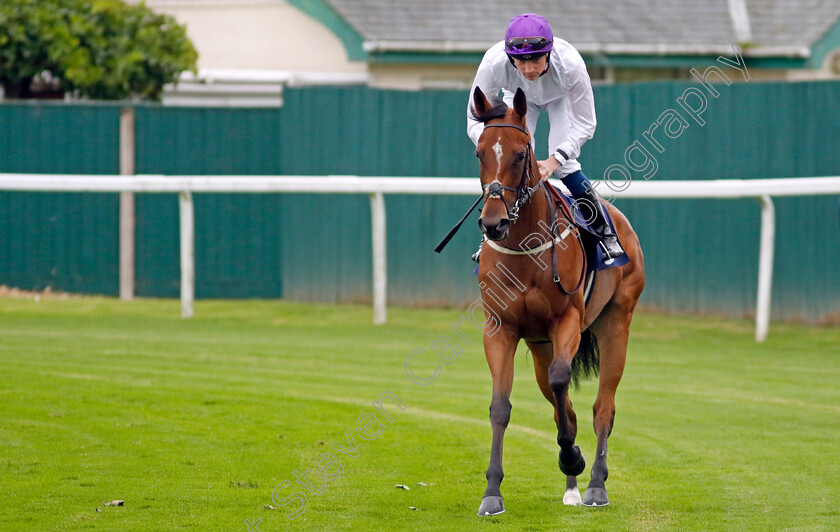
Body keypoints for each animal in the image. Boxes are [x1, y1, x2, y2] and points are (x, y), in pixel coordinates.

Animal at [470, 86, 648, 512]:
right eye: (480, 152)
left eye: (521, 154)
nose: (493, 223)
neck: (524, 248)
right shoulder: (500, 329)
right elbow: (501, 406)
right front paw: (492, 492)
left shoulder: (567, 320)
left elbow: (562, 380)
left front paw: (573, 458)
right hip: (539, 346)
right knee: (561, 406)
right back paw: (571, 486)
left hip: (616, 322)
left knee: (602, 408)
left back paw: (595, 483)